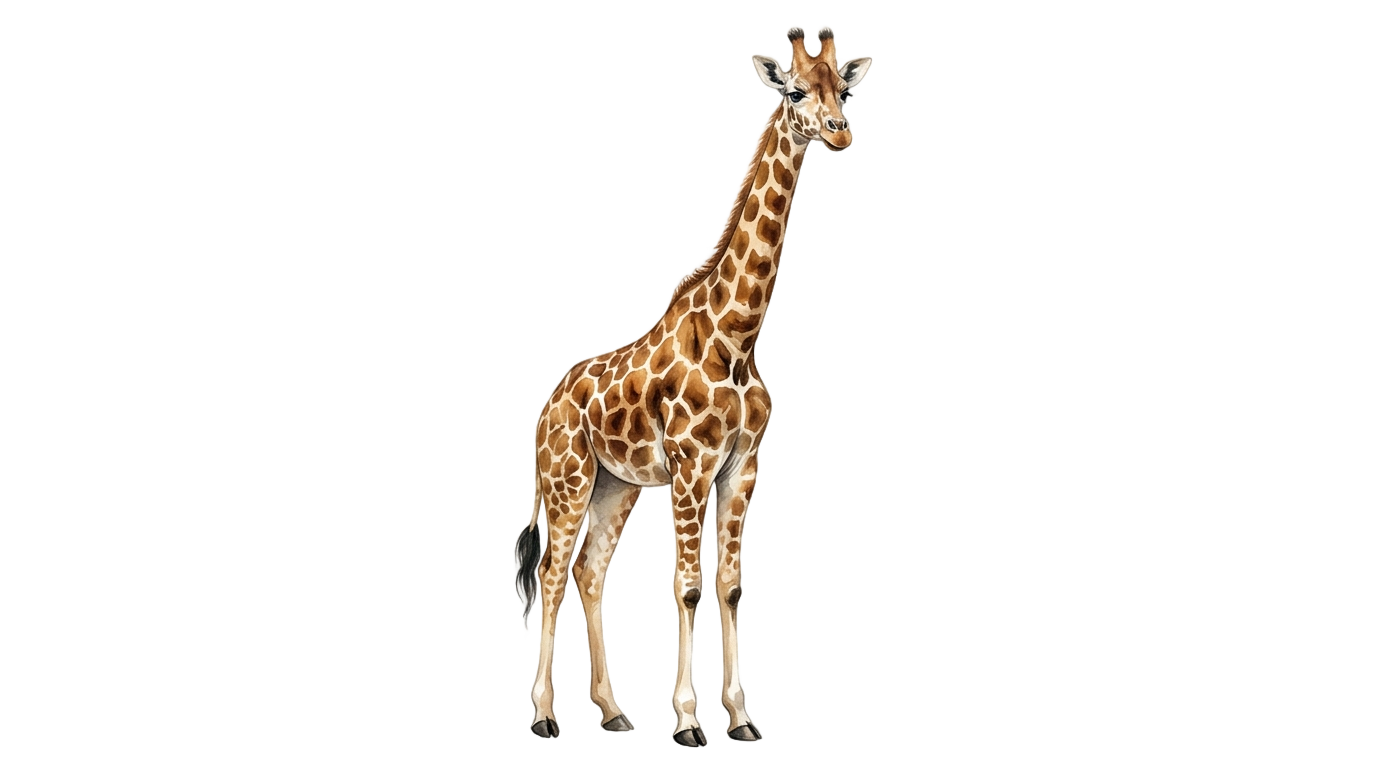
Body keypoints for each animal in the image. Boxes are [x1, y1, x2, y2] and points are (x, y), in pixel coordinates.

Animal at [511, 28, 872, 750]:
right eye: (796, 92)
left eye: (843, 90)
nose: (840, 133)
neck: (737, 337)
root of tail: (545, 412)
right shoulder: (689, 470)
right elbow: (684, 589)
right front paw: (685, 722)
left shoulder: (741, 469)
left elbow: (727, 585)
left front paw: (741, 718)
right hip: (567, 480)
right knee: (551, 573)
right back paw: (542, 715)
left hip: (612, 486)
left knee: (589, 573)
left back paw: (612, 711)